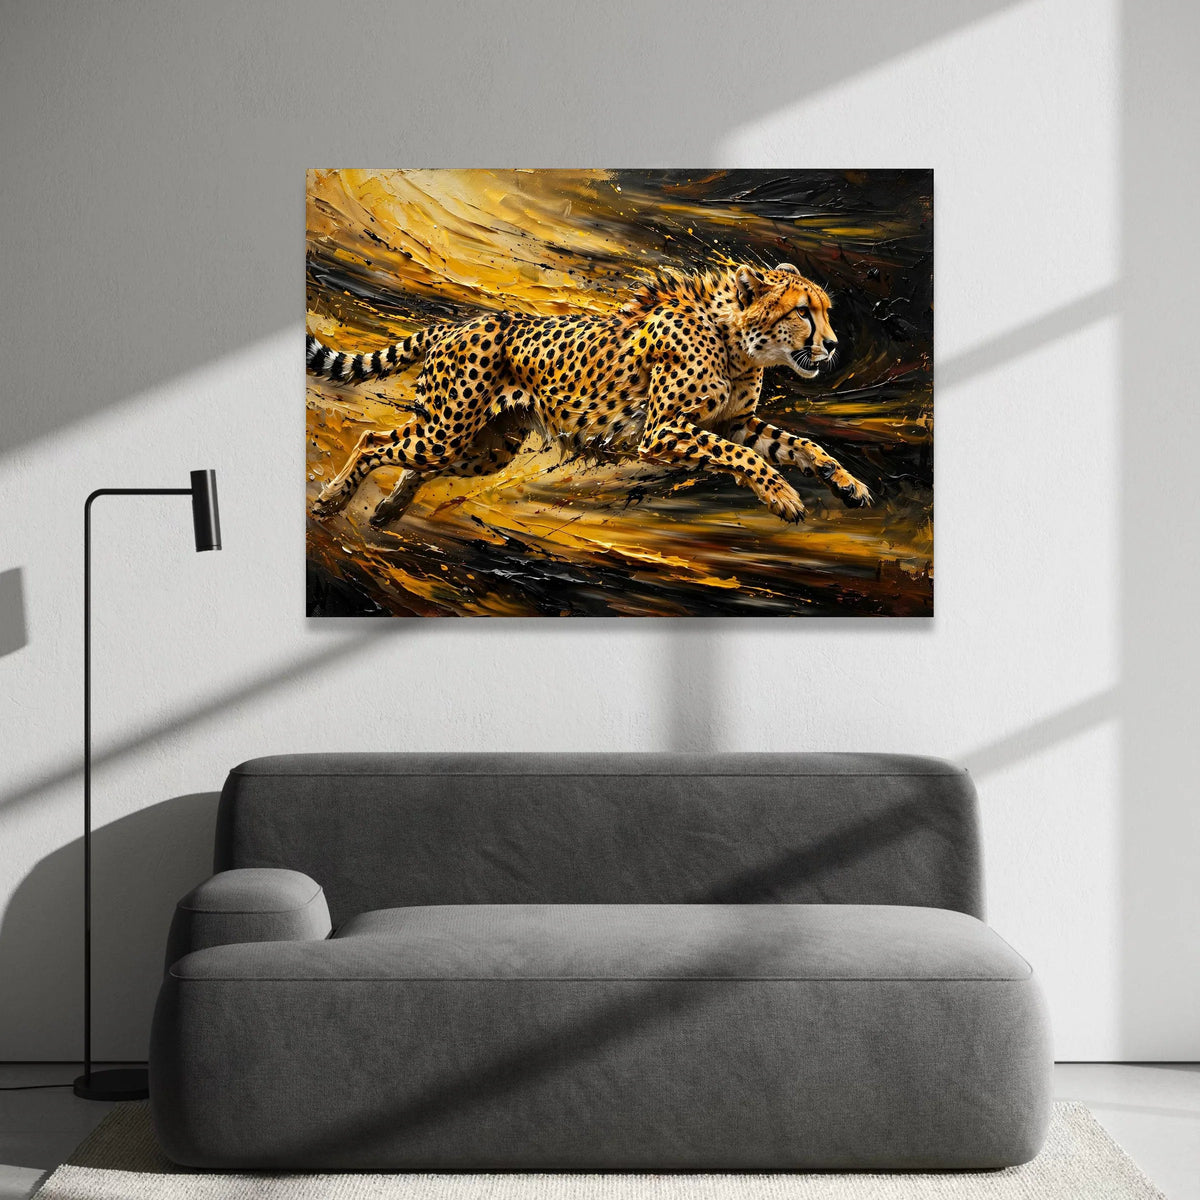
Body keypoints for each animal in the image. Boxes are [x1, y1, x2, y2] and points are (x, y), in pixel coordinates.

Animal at [306, 262, 873, 528]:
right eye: (802, 312)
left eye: (825, 312)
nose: (832, 344)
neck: (736, 344)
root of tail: (458, 323)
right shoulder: (663, 430)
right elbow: (742, 457)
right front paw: (783, 497)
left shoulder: (736, 422)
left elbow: (801, 446)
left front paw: (848, 484)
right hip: (449, 429)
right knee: (374, 441)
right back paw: (333, 500)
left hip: (484, 447)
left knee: (410, 459)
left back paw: (388, 510)